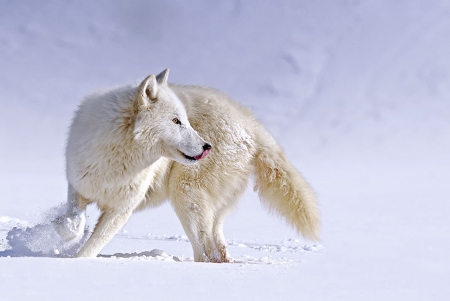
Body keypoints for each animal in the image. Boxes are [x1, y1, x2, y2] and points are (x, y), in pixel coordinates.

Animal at [56, 69, 320, 262]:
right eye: (176, 121)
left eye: (185, 120)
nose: (206, 147)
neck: (118, 157)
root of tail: (251, 124)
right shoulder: (79, 185)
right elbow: (73, 222)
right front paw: (63, 233)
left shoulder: (121, 211)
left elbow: (89, 250)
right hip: (207, 209)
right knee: (217, 250)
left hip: (185, 195)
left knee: (205, 254)